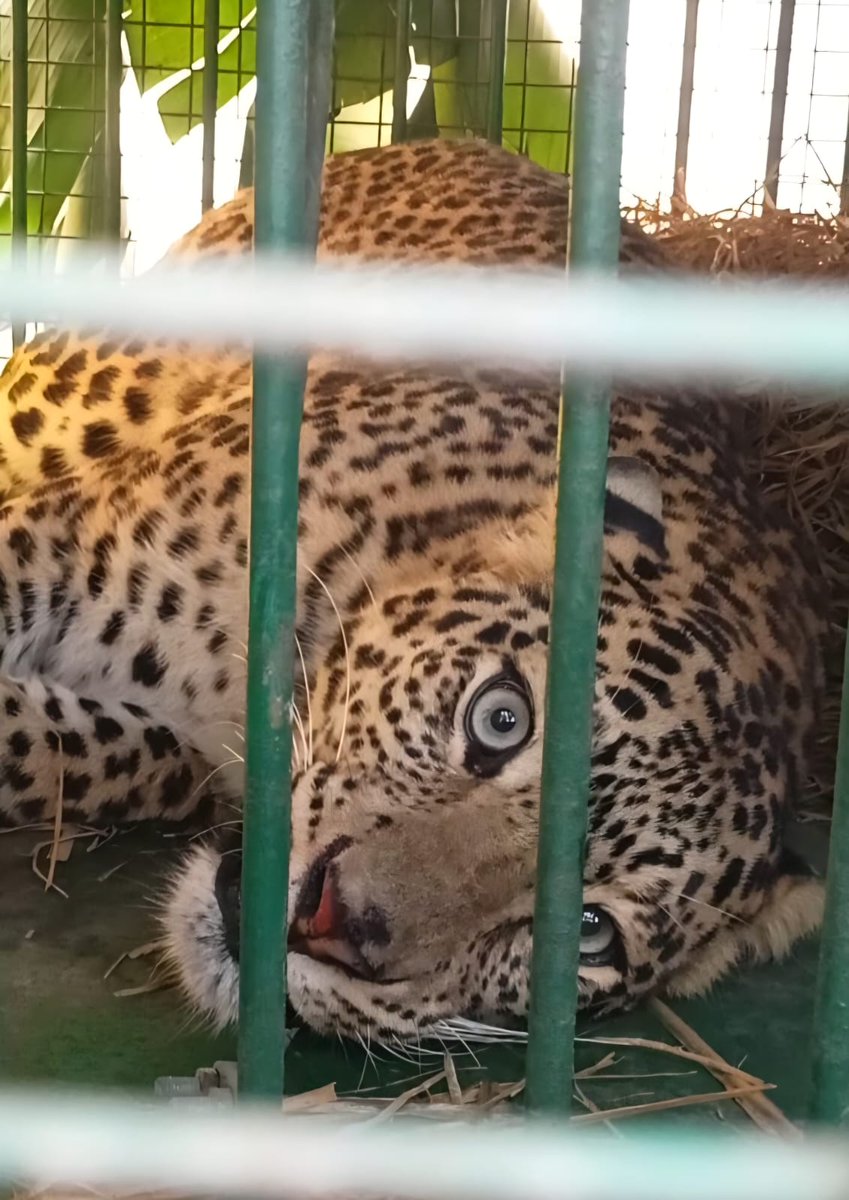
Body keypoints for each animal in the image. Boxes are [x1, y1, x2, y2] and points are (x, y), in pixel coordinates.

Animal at [0, 138, 828, 1043]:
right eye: (501, 719)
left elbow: (75, 752)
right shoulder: (63, 546)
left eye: (588, 930)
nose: (331, 919)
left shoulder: (168, 745)